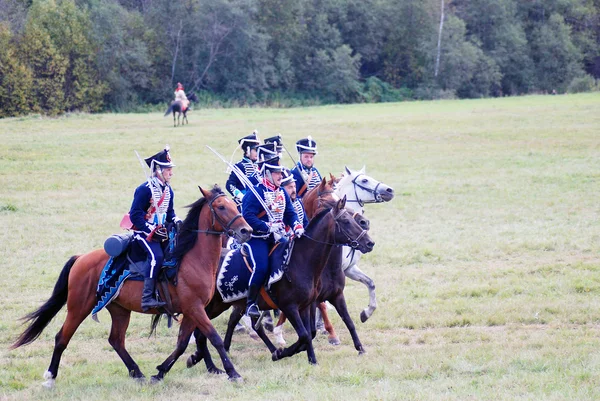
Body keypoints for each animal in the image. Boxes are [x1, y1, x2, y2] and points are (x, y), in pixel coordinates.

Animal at [11, 184, 251, 384]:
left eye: (233, 204)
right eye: (221, 206)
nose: (246, 231)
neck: (192, 259)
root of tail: (81, 258)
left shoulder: (193, 311)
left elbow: (183, 343)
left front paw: (160, 372)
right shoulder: (195, 308)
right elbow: (215, 338)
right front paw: (233, 373)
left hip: (119, 310)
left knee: (116, 340)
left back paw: (137, 372)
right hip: (78, 308)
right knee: (62, 337)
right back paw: (50, 376)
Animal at [182, 195, 376, 370]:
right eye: (345, 221)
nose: (369, 242)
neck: (301, 261)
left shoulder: (311, 304)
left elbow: (316, 331)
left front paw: (309, 357)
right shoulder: (290, 307)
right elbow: (305, 335)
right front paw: (284, 352)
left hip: (227, 304)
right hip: (210, 306)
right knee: (202, 331)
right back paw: (205, 360)